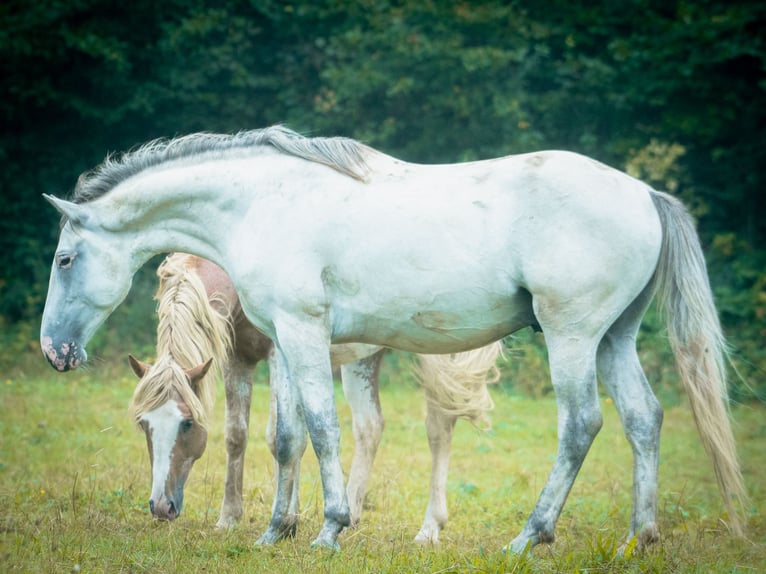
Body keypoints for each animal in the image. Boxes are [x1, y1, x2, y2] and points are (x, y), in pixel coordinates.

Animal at [128, 252, 501, 543]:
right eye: (143, 424)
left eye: (187, 423)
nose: (161, 507)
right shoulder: (237, 359)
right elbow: (237, 435)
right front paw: (229, 518)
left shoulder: (278, 356)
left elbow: (279, 438)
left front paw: (286, 522)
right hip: (363, 360)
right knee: (370, 427)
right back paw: (351, 516)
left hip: (435, 357)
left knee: (439, 428)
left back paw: (429, 528)